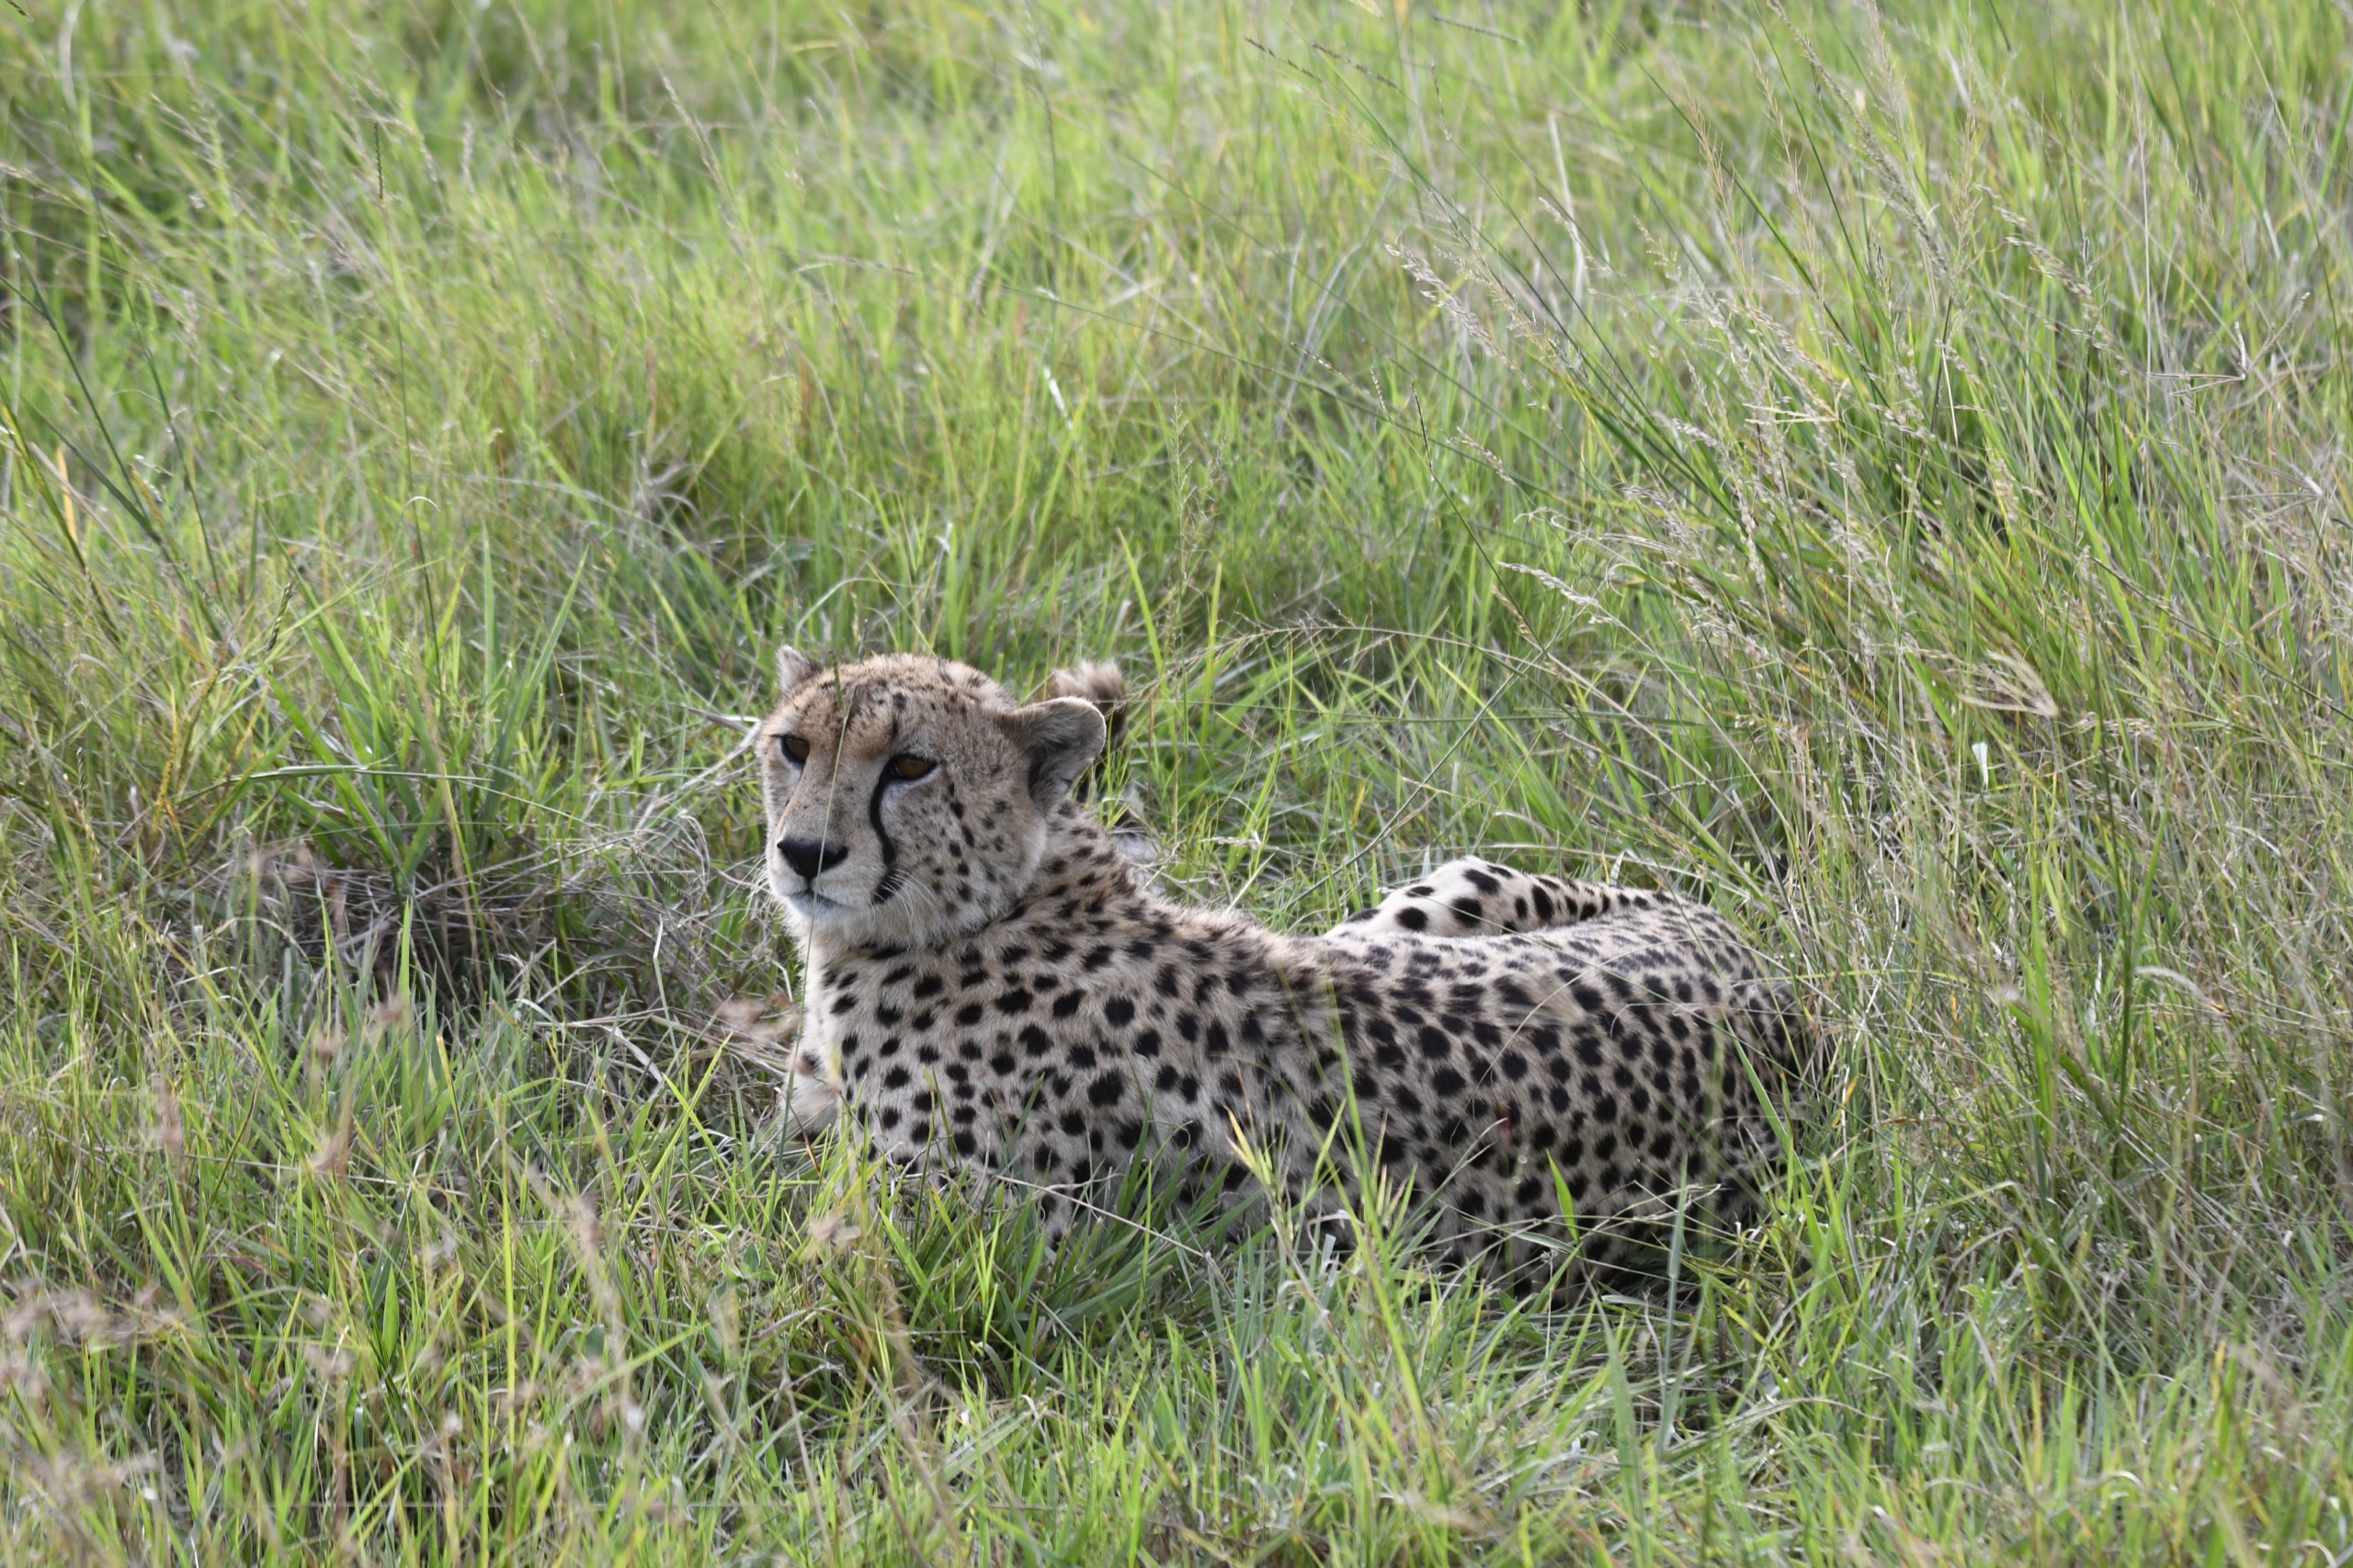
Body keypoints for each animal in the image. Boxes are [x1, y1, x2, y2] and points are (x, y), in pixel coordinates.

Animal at [751, 647, 1808, 1276]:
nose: (803, 853)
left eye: (911, 765)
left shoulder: (946, 1238)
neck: (1005, 900)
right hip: (1412, 906)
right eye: (794, 746)